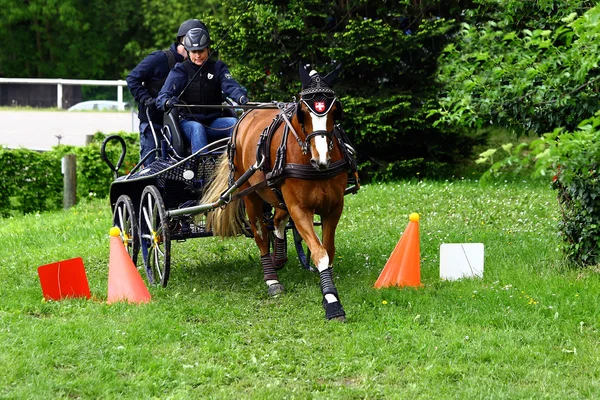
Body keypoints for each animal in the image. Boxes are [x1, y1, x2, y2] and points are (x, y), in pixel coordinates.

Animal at [203, 65, 352, 322]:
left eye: (335, 111)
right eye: (303, 112)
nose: (321, 158)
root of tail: (247, 113)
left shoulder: (334, 207)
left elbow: (328, 250)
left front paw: (328, 291)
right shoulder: (299, 209)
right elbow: (320, 252)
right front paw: (332, 302)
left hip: (275, 193)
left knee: (277, 220)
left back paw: (279, 258)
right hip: (250, 194)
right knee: (261, 234)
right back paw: (272, 278)